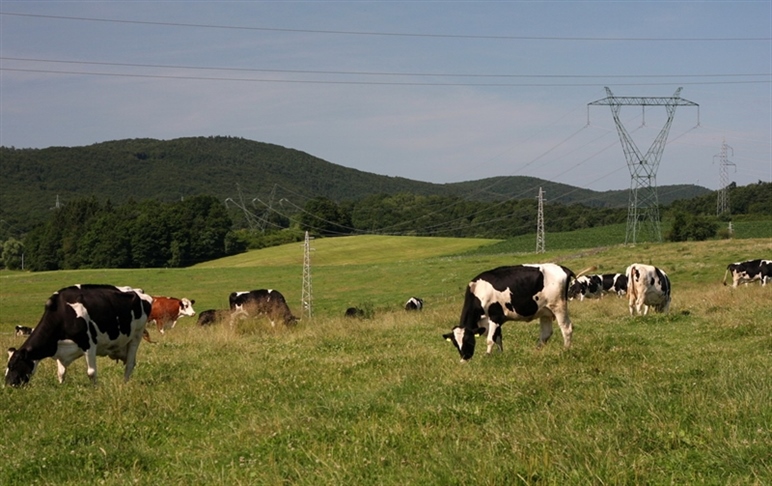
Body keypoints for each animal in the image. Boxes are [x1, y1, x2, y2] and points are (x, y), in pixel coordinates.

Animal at [4, 284, 152, 388]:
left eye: (13, 365)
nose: (7, 385)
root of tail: (138, 291)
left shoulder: (89, 344)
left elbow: (91, 372)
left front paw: (95, 389)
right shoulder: (61, 349)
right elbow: (61, 372)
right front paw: (61, 386)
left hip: (136, 336)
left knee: (130, 364)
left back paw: (124, 383)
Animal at [444, 264, 576, 362]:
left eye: (469, 340)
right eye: (455, 344)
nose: (464, 359)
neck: (478, 291)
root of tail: (563, 268)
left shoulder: (495, 316)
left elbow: (490, 339)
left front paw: (487, 356)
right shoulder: (493, 321)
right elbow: (498, 338)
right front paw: (500, 355)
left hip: (558, 306)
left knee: (566, 328)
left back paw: (565, 350)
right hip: (545, 311)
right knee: (546, 333)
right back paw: (536, 350)